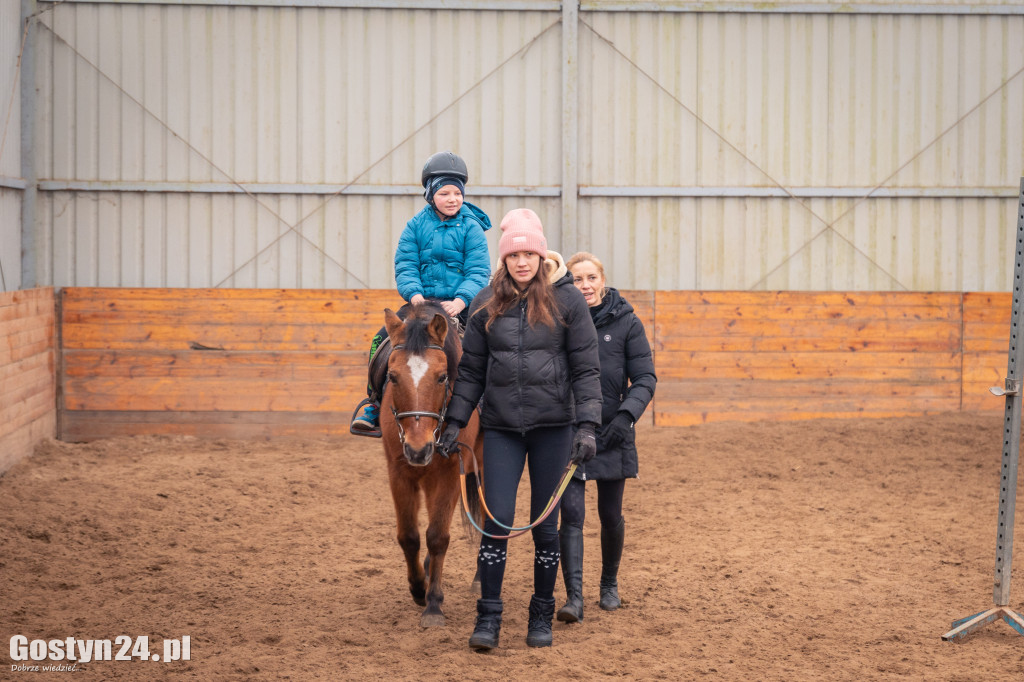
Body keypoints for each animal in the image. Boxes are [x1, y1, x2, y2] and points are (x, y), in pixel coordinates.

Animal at [380, 303, 483, 626]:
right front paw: (418, 588)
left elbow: (437, 537)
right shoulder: (399, 472)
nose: (418, 448)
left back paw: (479, 579)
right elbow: (409, 537)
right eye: (393, 376)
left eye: (441, 377)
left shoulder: (450, 473)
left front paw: (434, 604)